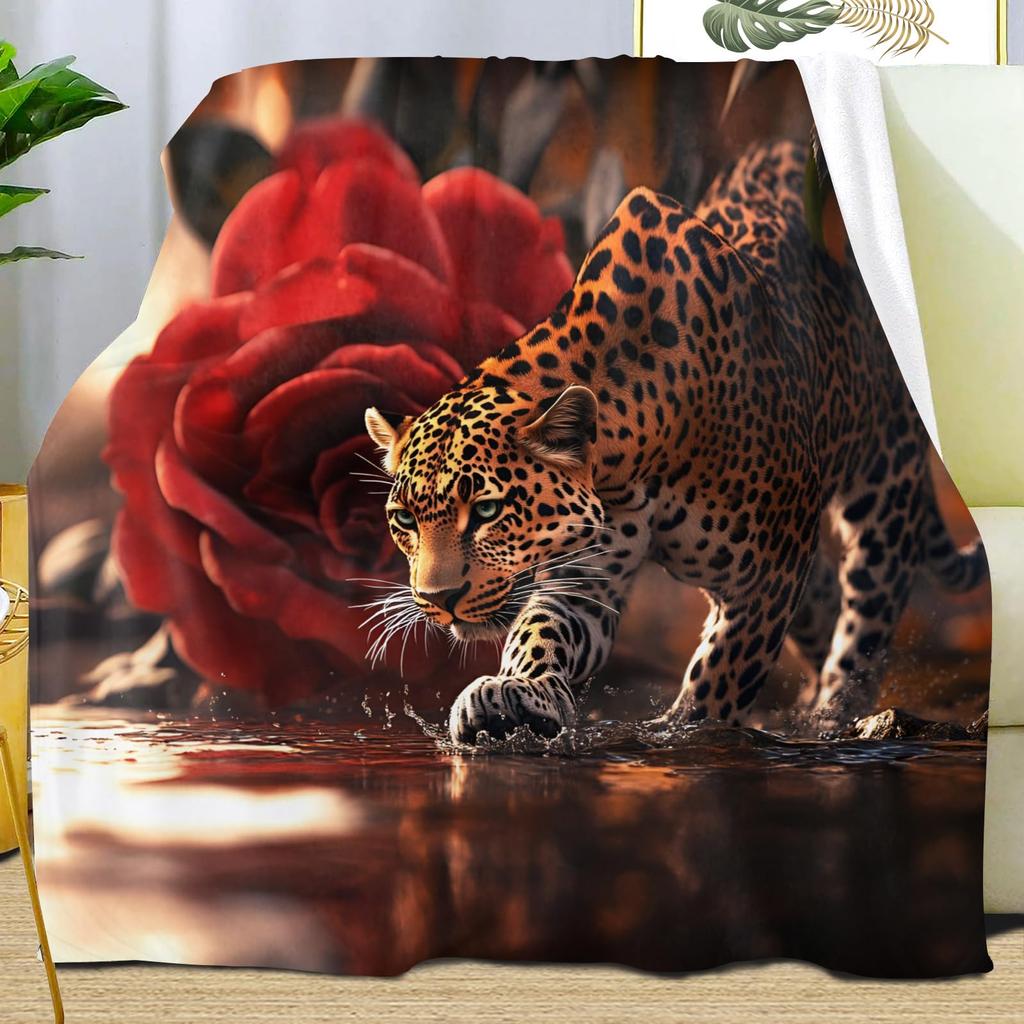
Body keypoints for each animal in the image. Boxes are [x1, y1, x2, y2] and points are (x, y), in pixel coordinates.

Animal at [364, 140, 986, 746]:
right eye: (404, 520)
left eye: (488, 510)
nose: (436, 601)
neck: (630, 453)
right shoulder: (587, 575)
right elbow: (541, 631)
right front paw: (517, 694)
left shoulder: (768, 572)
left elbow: (723, 671)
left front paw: (683, 732)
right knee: (825, 602)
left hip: (883, 494)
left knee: (865, 626)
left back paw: (836, 716)